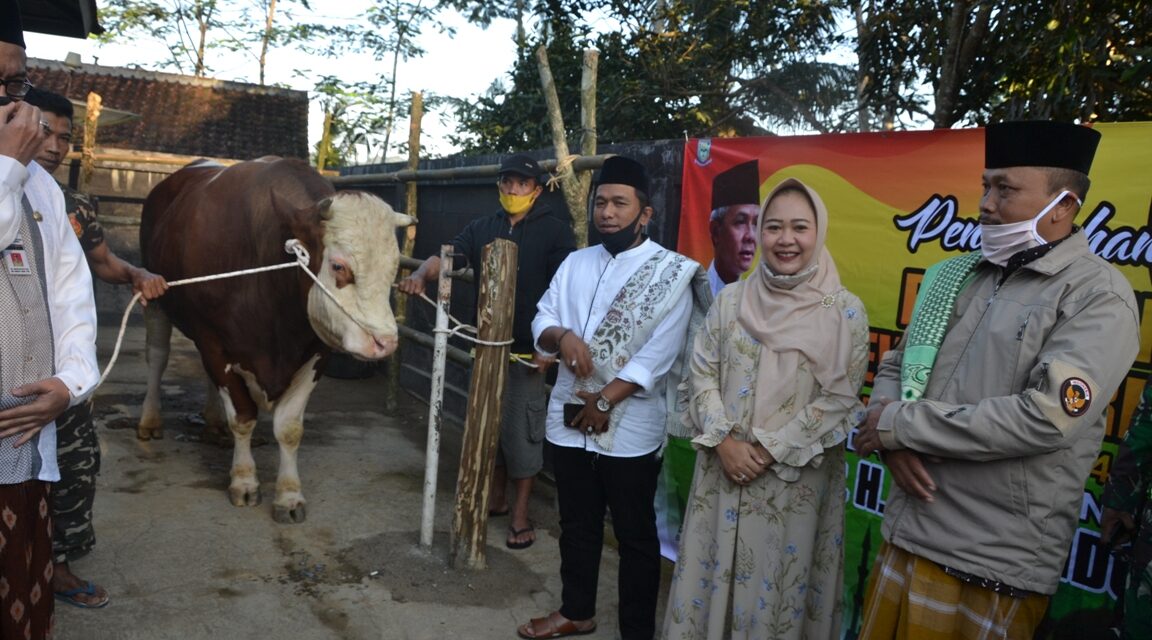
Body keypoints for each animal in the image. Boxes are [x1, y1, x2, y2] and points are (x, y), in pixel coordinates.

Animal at [136, 157, 412, 522]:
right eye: (339, 266)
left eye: (394, 267)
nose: (384, 342)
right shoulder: (214, 341)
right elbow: (242, 416)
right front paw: (244, 481)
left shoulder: (316, 351)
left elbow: (289, 426)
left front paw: (289, 496)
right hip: (155, 297)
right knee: (157, 356)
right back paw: (150, 420)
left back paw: (213, 422)